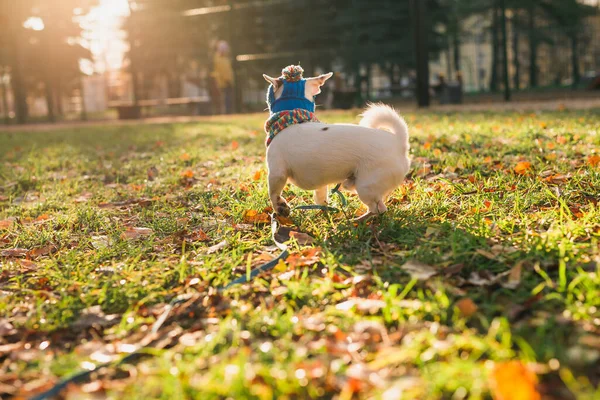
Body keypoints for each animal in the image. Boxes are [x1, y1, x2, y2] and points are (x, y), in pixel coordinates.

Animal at [264, 69, 410, 219]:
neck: (292, 119)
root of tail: (399, 141)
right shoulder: (320, 184)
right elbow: (321, 196)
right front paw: (324, 212)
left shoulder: (276, 173)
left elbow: (273, 193)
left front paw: (280, 208)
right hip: (354, 184)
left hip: (366, 187)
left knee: (378, 209)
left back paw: (358, 220)